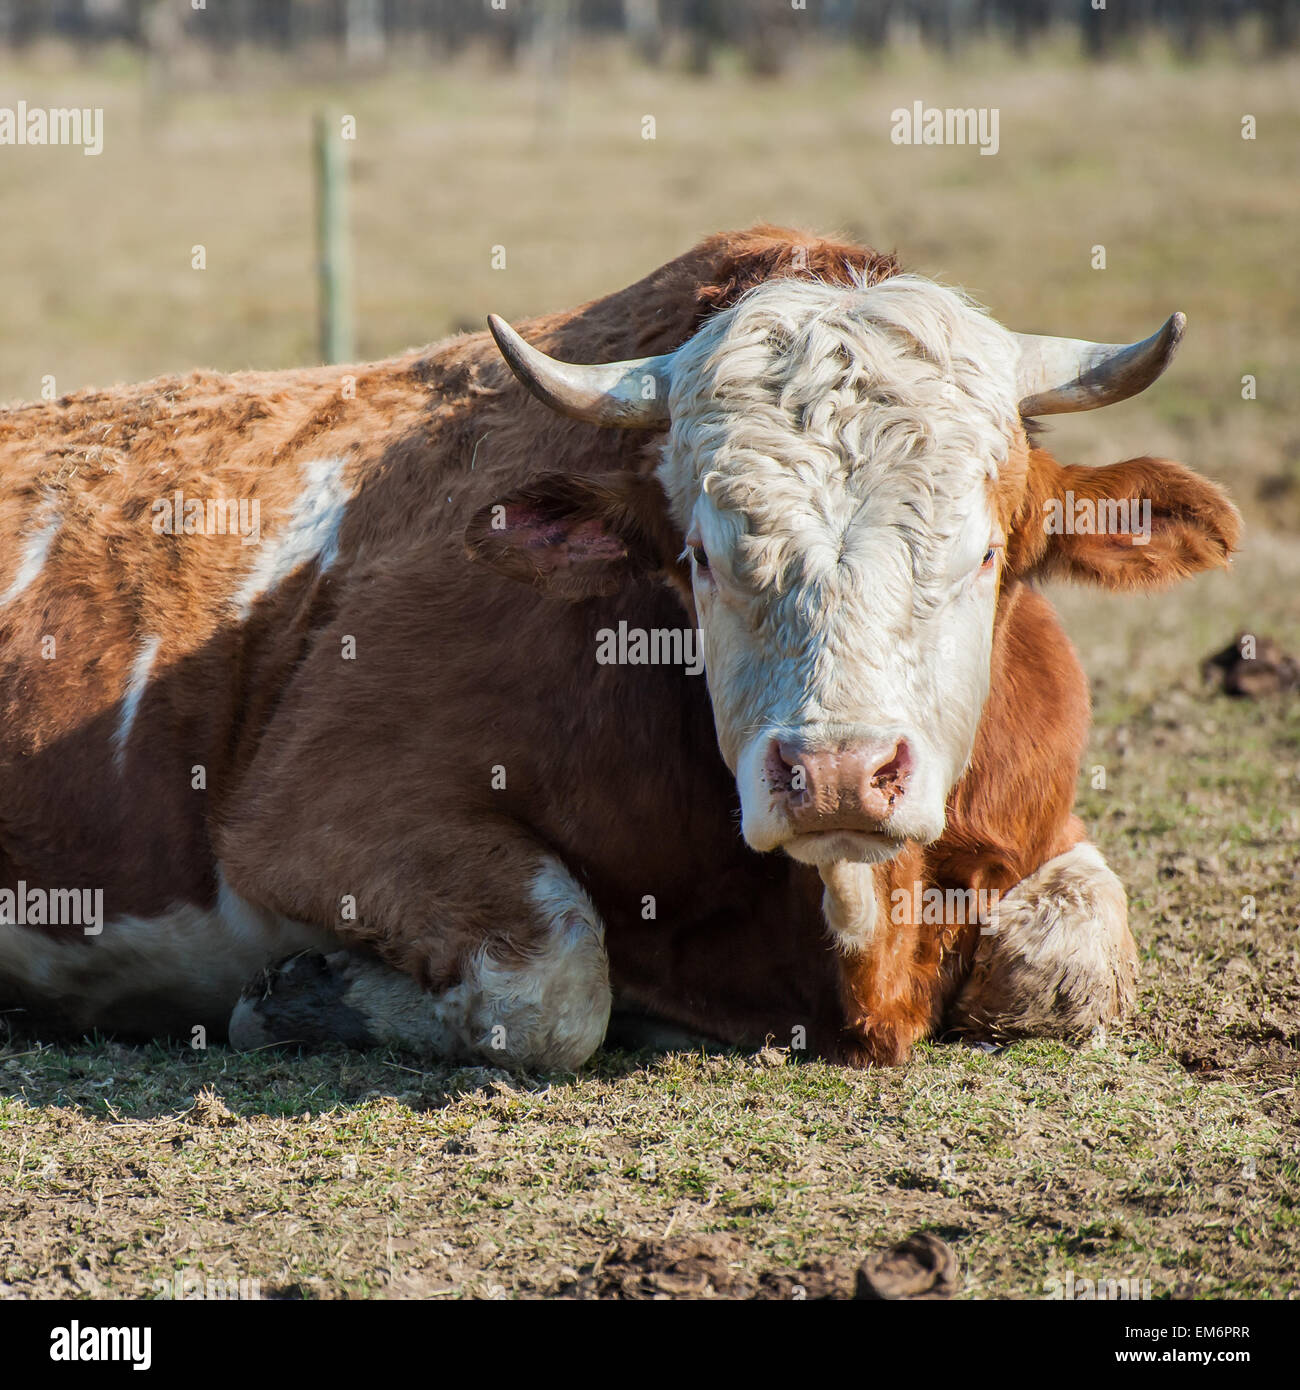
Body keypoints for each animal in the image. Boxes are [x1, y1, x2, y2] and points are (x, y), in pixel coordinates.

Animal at [0, 226, 1239, 1068]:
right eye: (699, 554)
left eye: (984, 553)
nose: (836, 771)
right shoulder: (309, 806)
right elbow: (557, 984)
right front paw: (319, 996)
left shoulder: (1039, 822)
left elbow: (1063, 963)